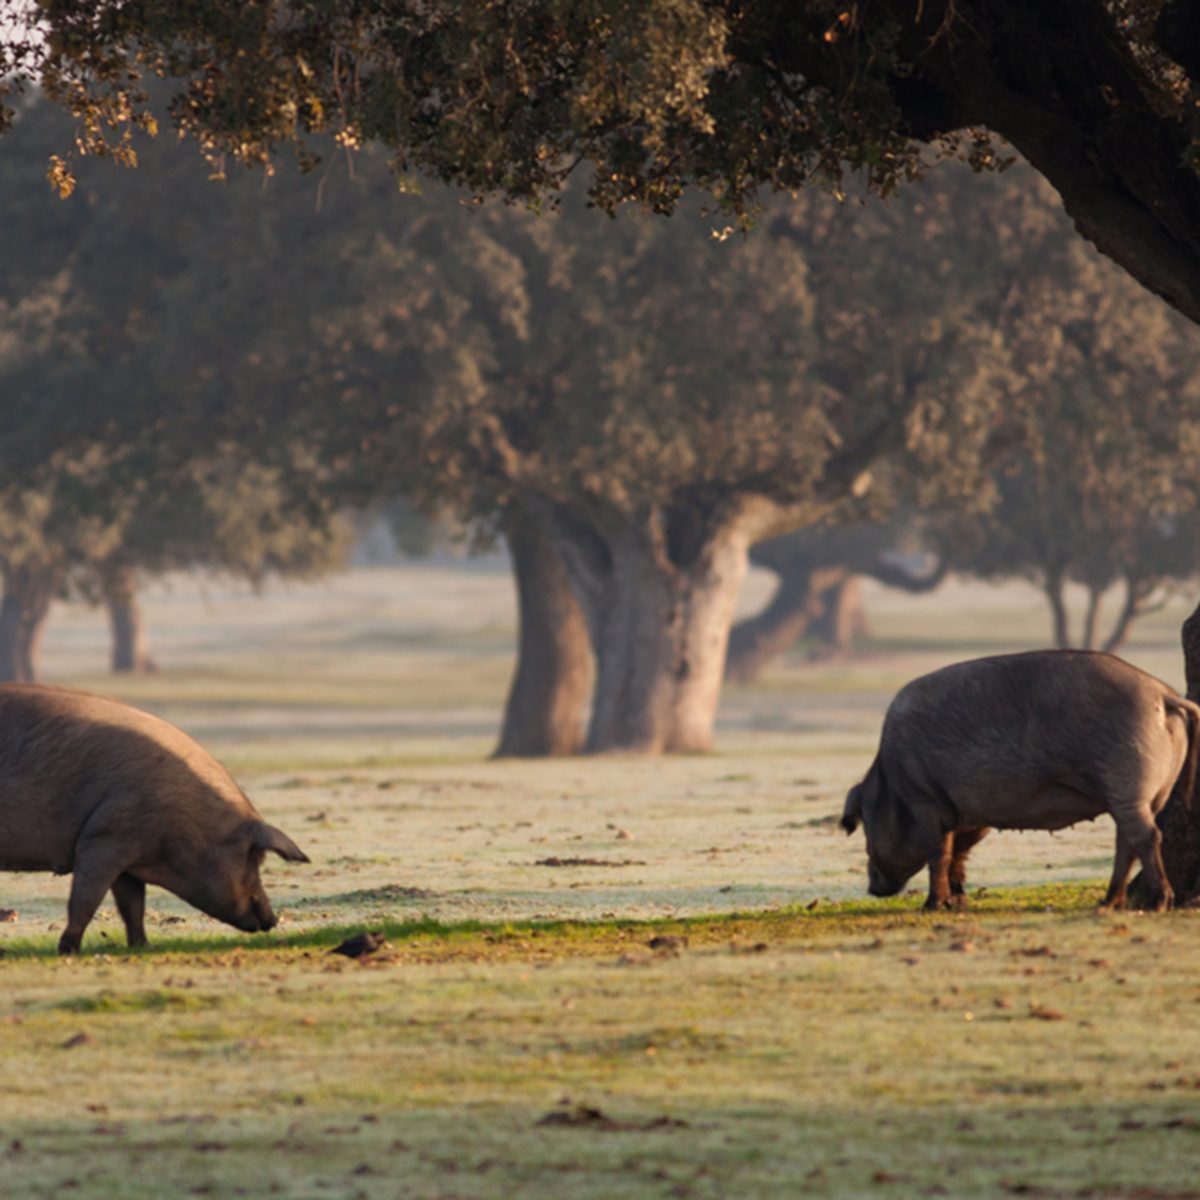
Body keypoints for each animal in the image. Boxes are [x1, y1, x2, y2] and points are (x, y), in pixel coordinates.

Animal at [0, 683, 309, 953]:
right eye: (253, 858)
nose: (272, 919)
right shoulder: (104, 839)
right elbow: (85, 899)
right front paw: (69, 950)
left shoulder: (128, 857)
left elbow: (133, 905)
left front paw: (143, 946)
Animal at [840, 651, 1200, 912]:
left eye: (866, 826)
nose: (872, 887)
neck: (891, 781)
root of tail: (1164, 694)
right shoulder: (970, 814)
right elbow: (959, 851)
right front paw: (959, 902)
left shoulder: (924, 799)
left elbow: (939, 851)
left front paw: (932, 906)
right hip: (1150, 794)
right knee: (1127, 843)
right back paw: (1109, 902)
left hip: (1127, 787)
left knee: (1146, 837)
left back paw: (1158, 903)